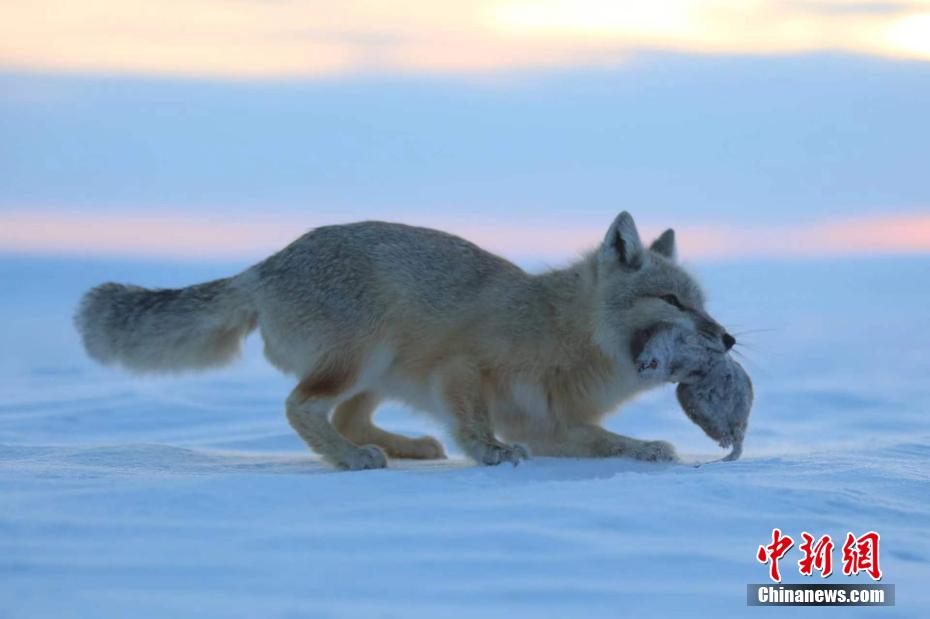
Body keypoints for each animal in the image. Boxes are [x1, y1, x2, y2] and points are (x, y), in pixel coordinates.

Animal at [76, 213, 736, 470]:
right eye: (672, 301)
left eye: (701, 303)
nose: (728, 338)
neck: (561, 327)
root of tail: (263, 266)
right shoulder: (461, 369)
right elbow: (476, 423)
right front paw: (489, 453)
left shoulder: (547, 422)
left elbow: (607, 442)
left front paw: (648, 449)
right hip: (368, 352)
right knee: (302, 407)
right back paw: (349, 459)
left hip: (378, 371)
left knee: (349, 416)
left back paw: (404, 447)